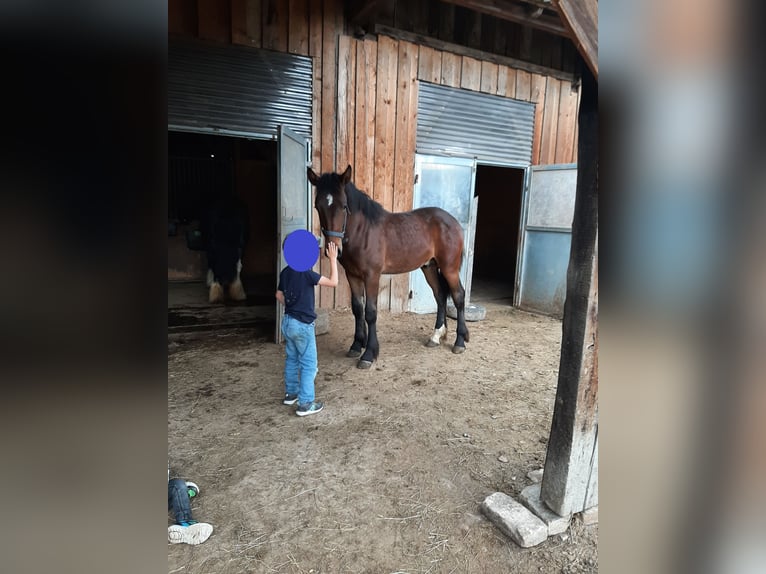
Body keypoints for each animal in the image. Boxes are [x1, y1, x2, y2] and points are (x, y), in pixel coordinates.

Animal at [308, 165, 472, 368]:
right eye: (318, 206)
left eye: (344, 206)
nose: (334, 250)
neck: (363, 232)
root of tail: (453, 221)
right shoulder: (352, 275)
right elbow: (357, 309)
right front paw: (356, 345)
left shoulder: (372, 276)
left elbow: (370, 312)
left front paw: (369, 354)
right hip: (429, 267)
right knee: (440, 296)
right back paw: (435, 336)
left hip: (449, 268)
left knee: (458, 296)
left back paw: (459, 342)